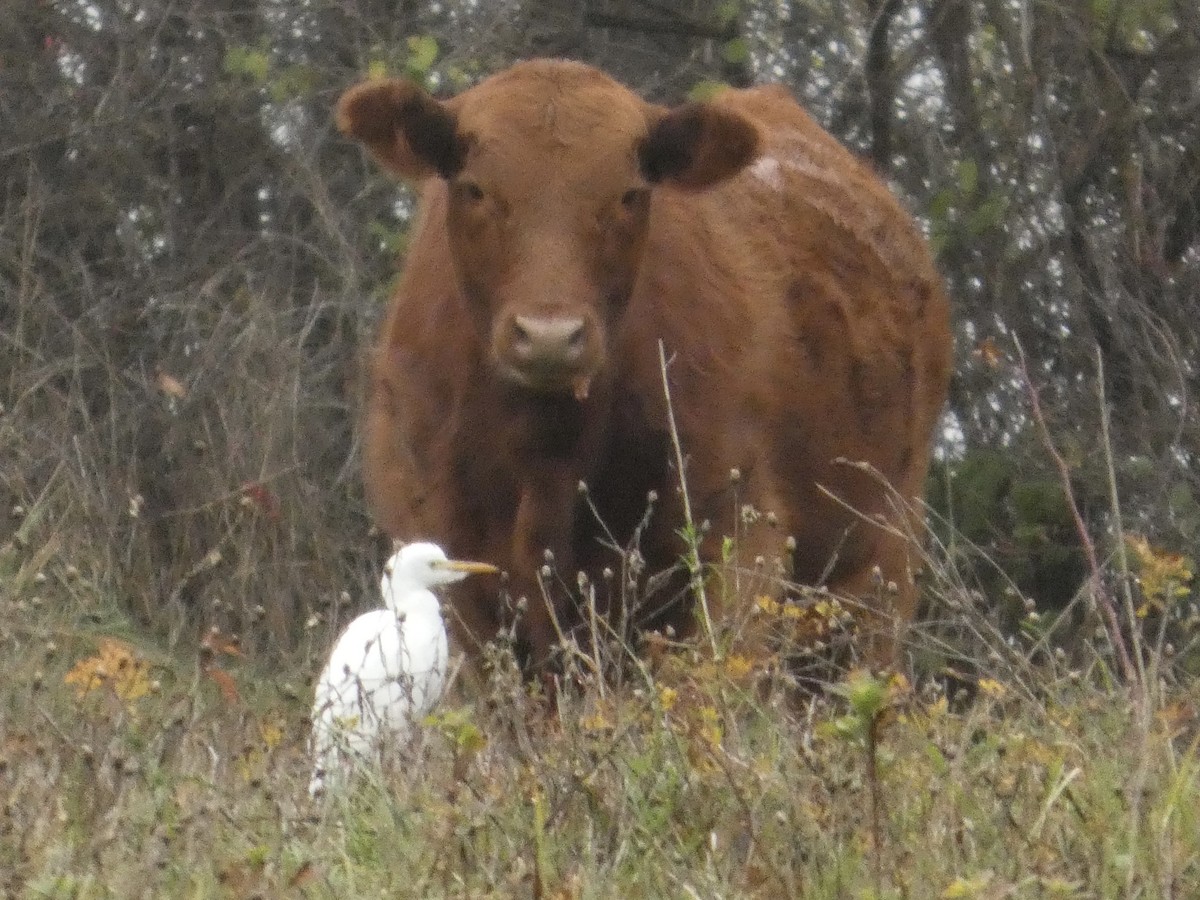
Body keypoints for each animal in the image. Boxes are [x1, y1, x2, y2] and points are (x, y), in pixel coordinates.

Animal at [337, 59, 952, 681]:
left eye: (629, 194)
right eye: (475, 189)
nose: (550, 336)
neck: (546, 456)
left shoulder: (739, 542)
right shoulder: (457, 573)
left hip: (879, 568)